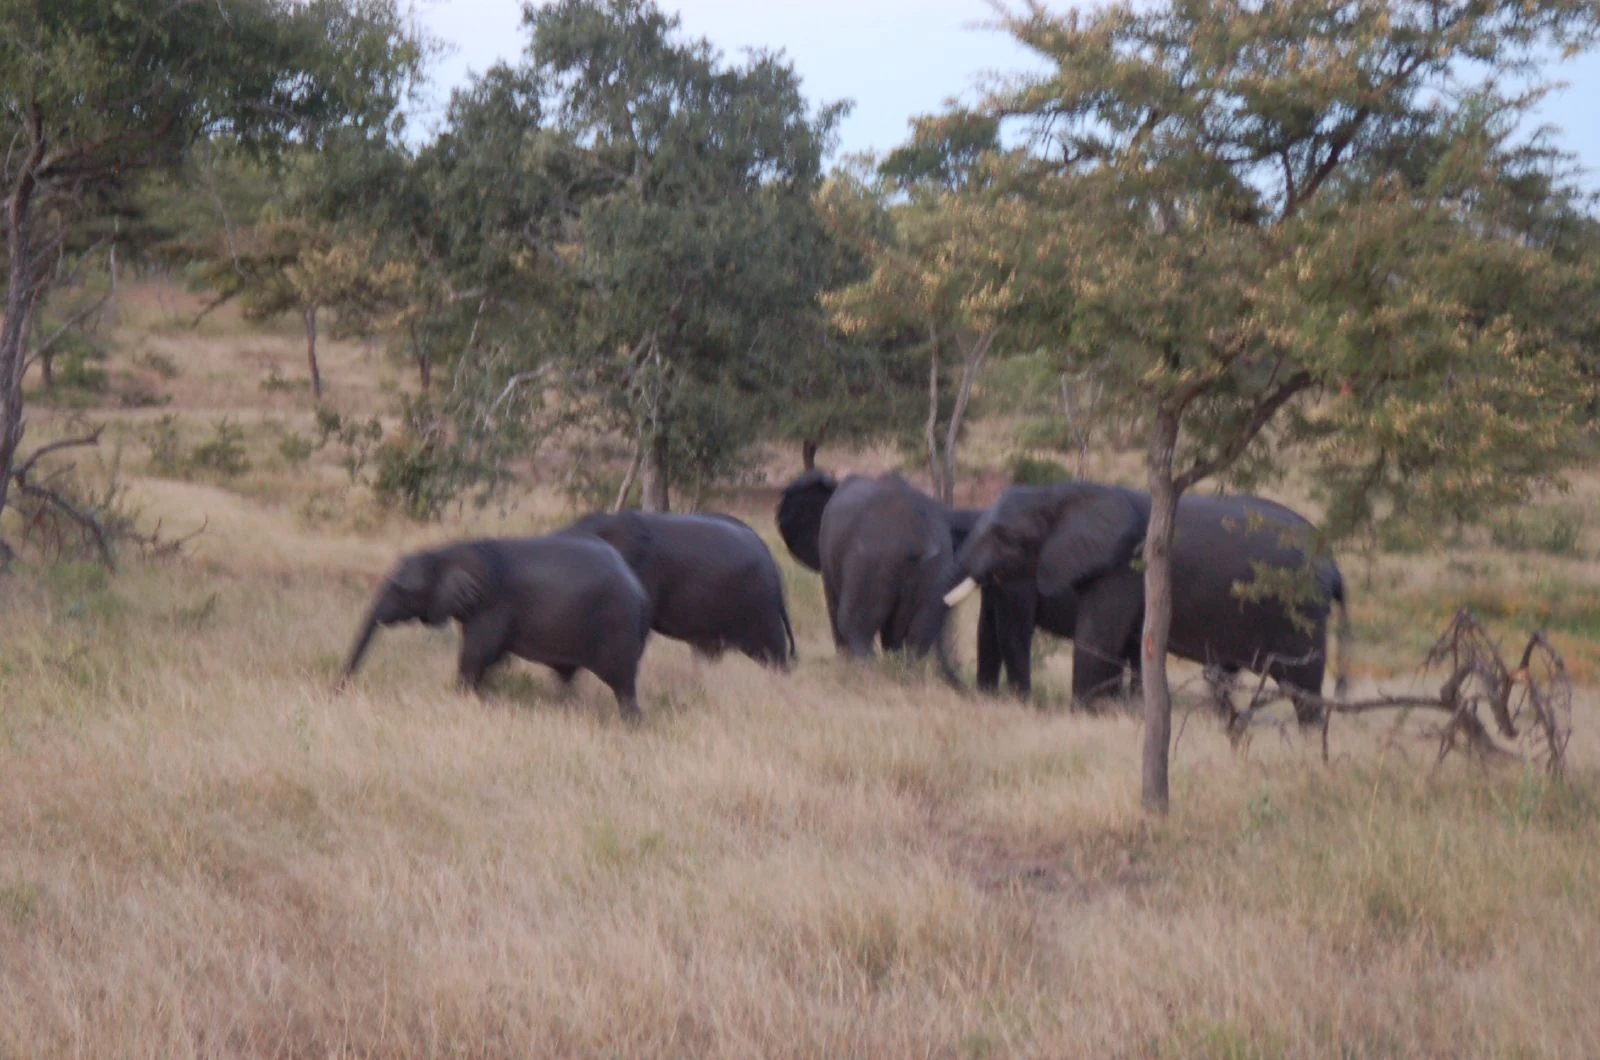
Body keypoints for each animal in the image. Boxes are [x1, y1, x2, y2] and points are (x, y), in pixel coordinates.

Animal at [341, 535, 653, 720]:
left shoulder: (493, 605)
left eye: (401, 591)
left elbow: (476, 655)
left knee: (623, 683)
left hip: (618, 624)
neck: (449, 552)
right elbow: (490, 658)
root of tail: (639, 589)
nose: (339, 690)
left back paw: (630, 724)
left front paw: (471, 699)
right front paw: (486, 699)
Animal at [777, 469, 976, 686]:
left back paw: (865, 677)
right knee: (919, 633)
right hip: (934, 570)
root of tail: (916, 538)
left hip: (869, 563)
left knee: (855, 625)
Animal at [947, 482, 1349, 724]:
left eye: (1004, 537)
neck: (1062, 493)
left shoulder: (1123, 567)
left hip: (1301, 614)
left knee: (1302, 688)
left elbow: (1093, 639)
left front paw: (1079, 716)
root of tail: (1332, 564)